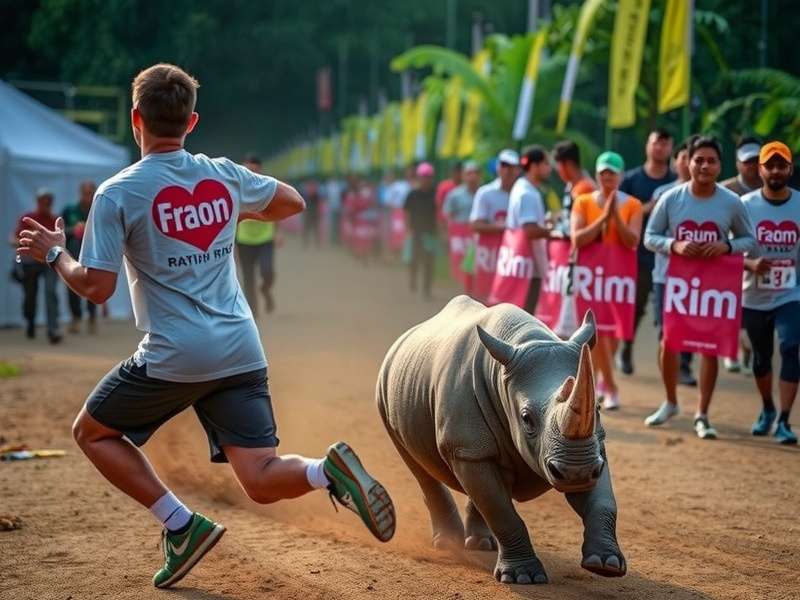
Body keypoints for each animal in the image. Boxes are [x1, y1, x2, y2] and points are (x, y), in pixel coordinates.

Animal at [377, 295, 625, 584]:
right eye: (526, 418)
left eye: (598, 409)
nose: (576, 474)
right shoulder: (467, 446)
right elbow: (501, 511)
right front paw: (523, 577)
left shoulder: (593, 449)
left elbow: (603, 502)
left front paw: (606, 564)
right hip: (384, 391)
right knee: (420, 467)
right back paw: (449, 543)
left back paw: (482, 544)